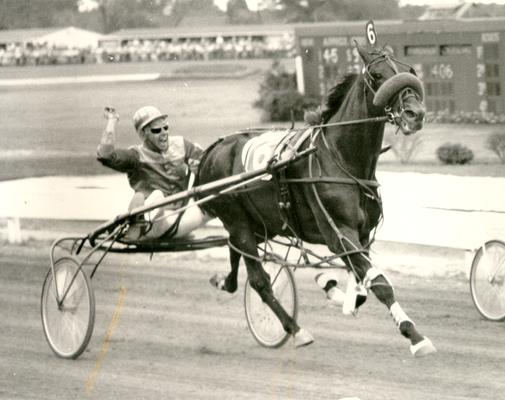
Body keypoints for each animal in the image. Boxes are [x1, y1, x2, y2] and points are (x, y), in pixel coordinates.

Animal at [197, 45, 438, 358]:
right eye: (376, 75)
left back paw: (224, 281)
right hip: (239, 223)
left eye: (410, 70)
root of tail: (212, 151)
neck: (341, 158)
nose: (415, 113)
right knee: (260, 281)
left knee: (235, 253)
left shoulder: (361, 236)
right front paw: (415, 336)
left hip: (260, 224)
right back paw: (295, 329)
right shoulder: (340, 234)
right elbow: (380, 284)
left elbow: (362, 283)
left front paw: (333, 288)